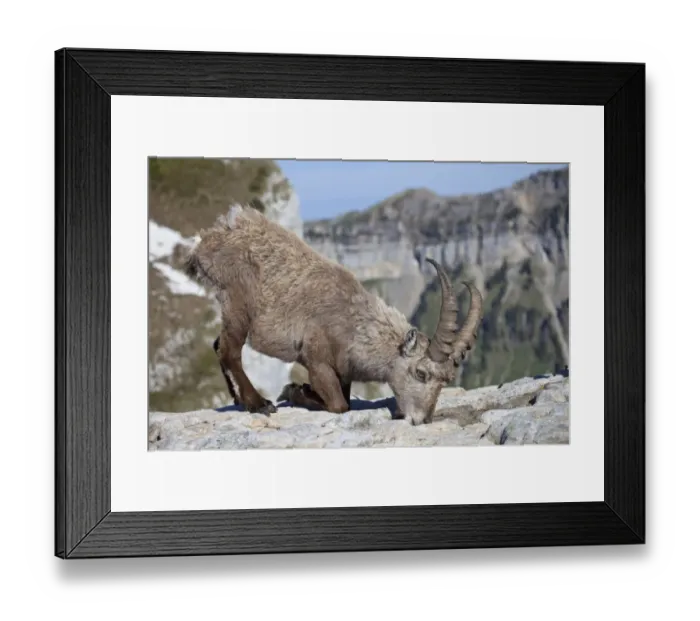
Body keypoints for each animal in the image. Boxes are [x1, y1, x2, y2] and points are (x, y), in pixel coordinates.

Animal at [185, 203, 483, 425]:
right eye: (421, 373)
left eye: (446, 379)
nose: (422, 419)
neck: (355, 327)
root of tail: (208, 239)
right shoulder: (316, 360)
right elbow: (340, 405)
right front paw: (295, 390)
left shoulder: (344, 371)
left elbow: (346, 399)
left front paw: (300, 390)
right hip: (238, 302)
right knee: (229, 350)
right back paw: (258, 403)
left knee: (218, 345)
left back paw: (238, 400)